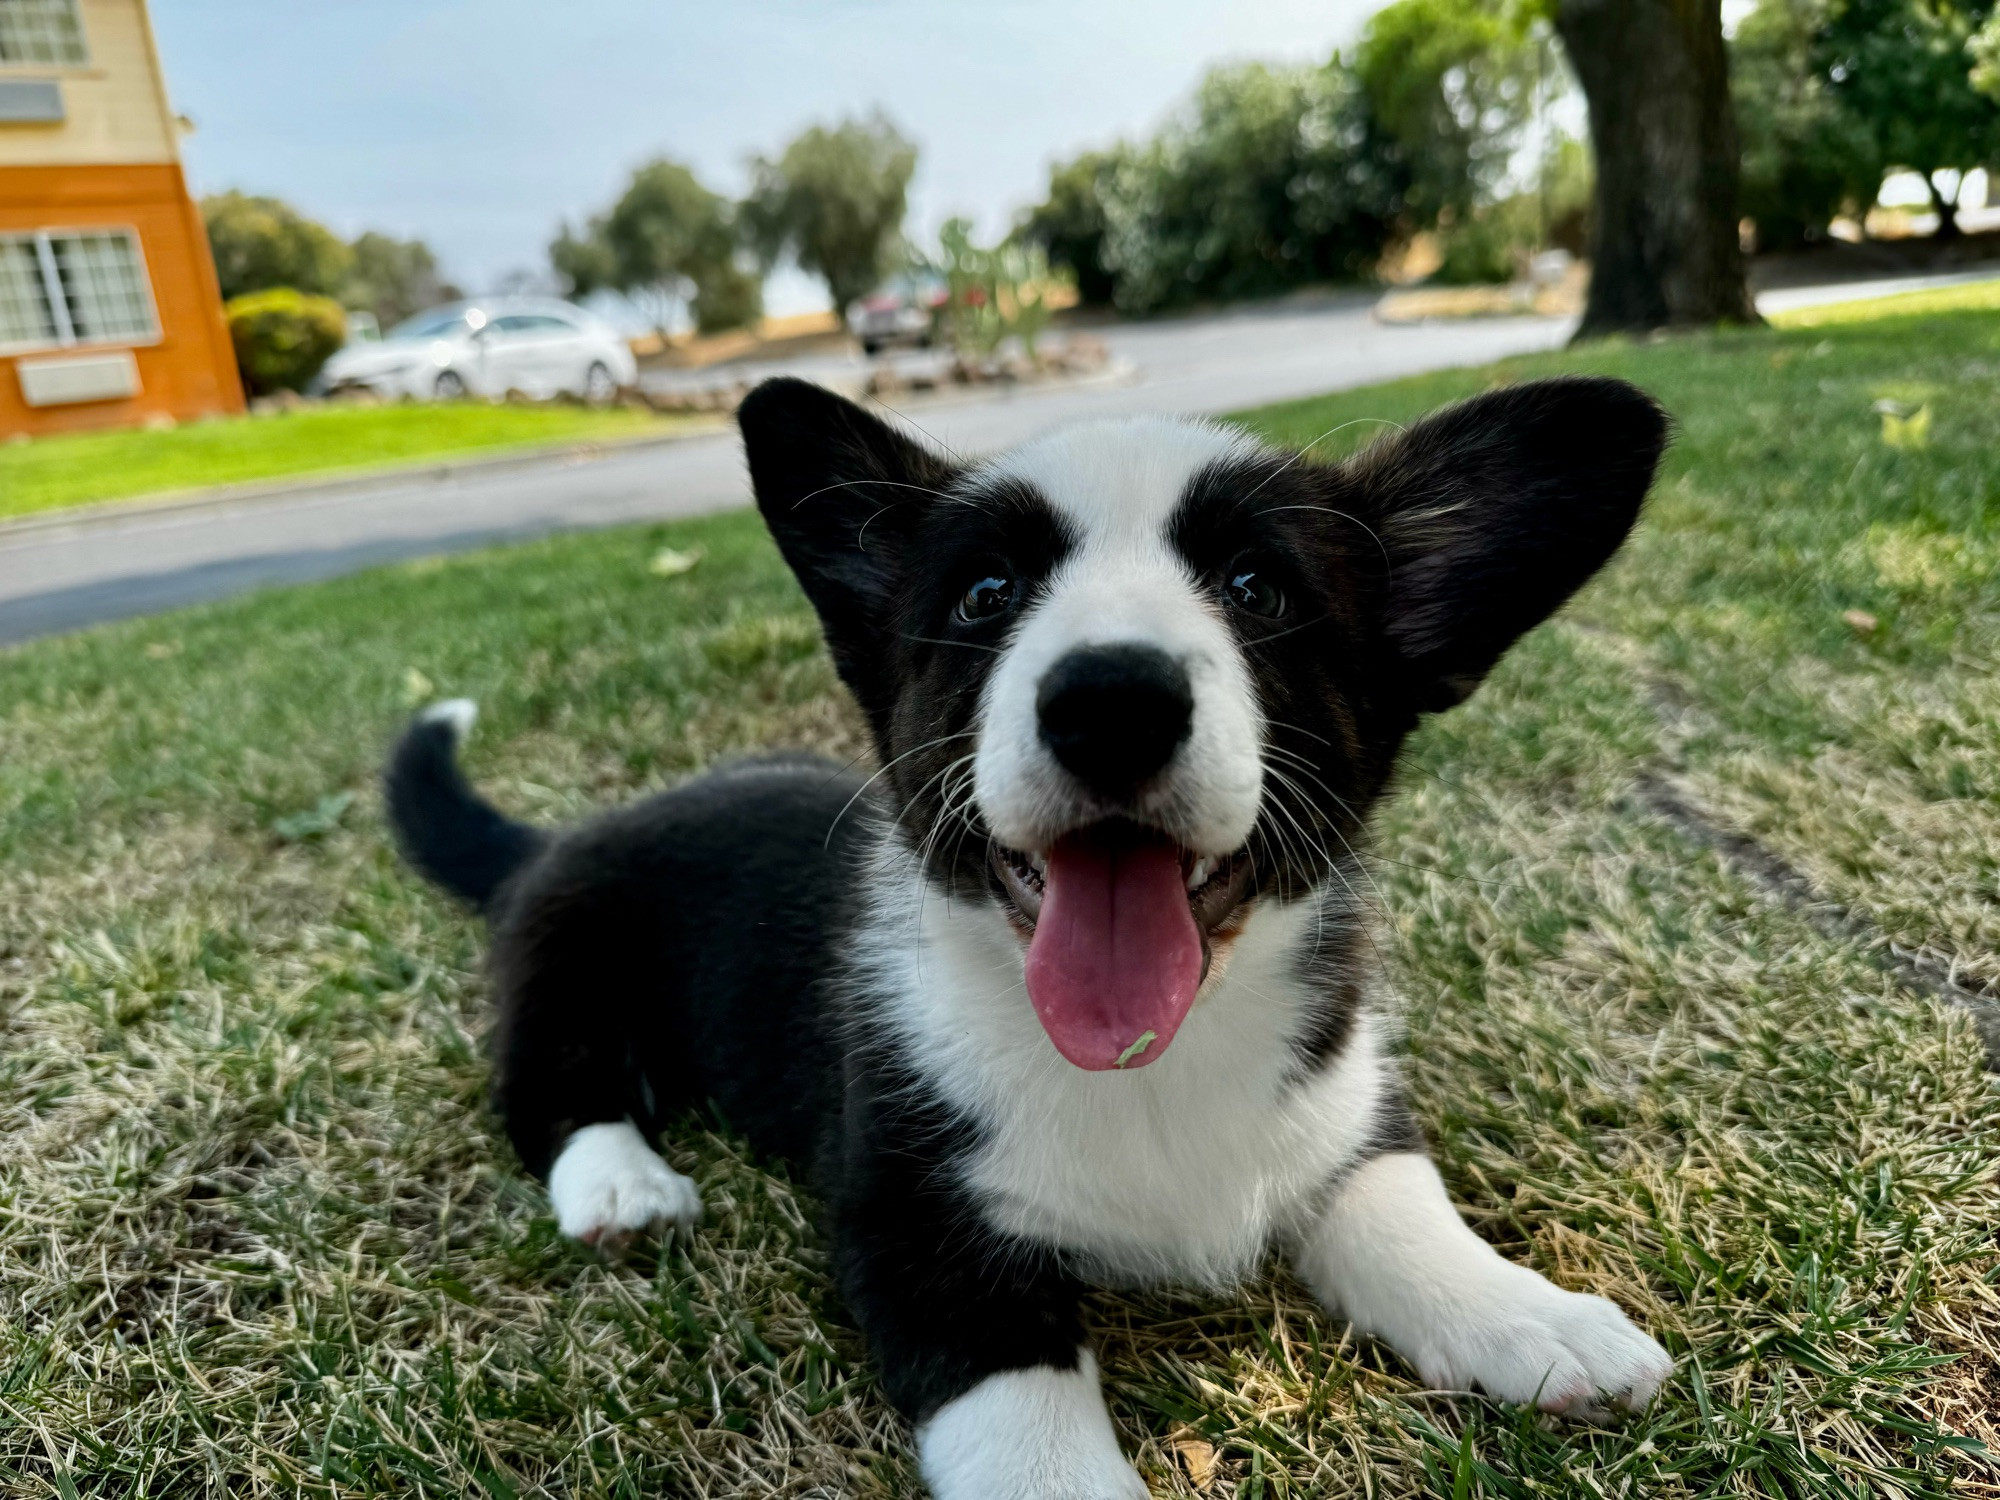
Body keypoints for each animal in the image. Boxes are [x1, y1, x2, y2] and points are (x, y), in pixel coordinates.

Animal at [386, 376, 1672, 1500]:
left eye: (1257, 587)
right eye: (985, 593)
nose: (1111, 701)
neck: (1149, 1061)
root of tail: (561, 835)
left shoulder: (1343, 1109)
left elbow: (1403, 1208)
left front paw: (1533, 1318)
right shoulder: (914, 1227)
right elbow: (1021, 1415)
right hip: (571, 962)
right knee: (549, 1086)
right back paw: (620, 1183)